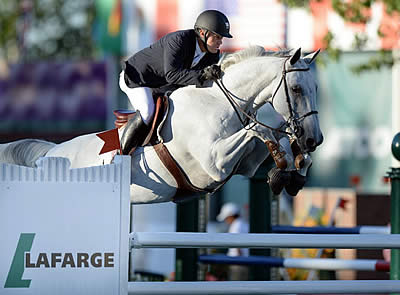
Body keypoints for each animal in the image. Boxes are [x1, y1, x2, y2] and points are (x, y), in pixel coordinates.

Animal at [0, 46, 322, 204]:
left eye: (316, 87)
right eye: (296, 89)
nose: (314, 140)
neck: (220, 101)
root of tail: (50, 154)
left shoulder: (246, 165)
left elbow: (273, 142)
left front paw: (293, 171)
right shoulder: (216, 162)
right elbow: (261, 130)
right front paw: (287, 166)